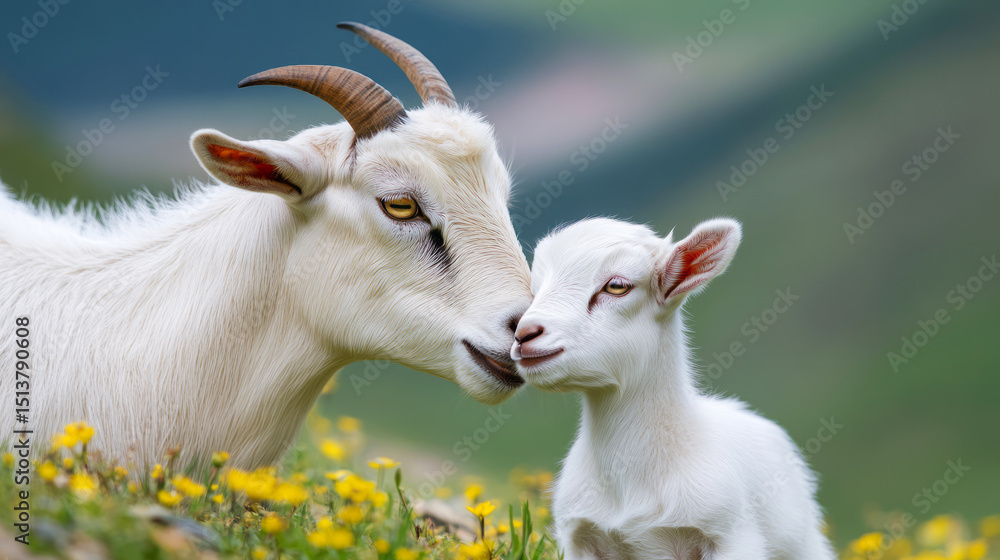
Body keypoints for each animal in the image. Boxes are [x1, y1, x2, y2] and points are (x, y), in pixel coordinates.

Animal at [511, 218, 834, 560]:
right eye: (534, 291)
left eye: (617, 285)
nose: (524, 334)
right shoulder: (578, 537)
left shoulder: (730, 534)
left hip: (804, 544)